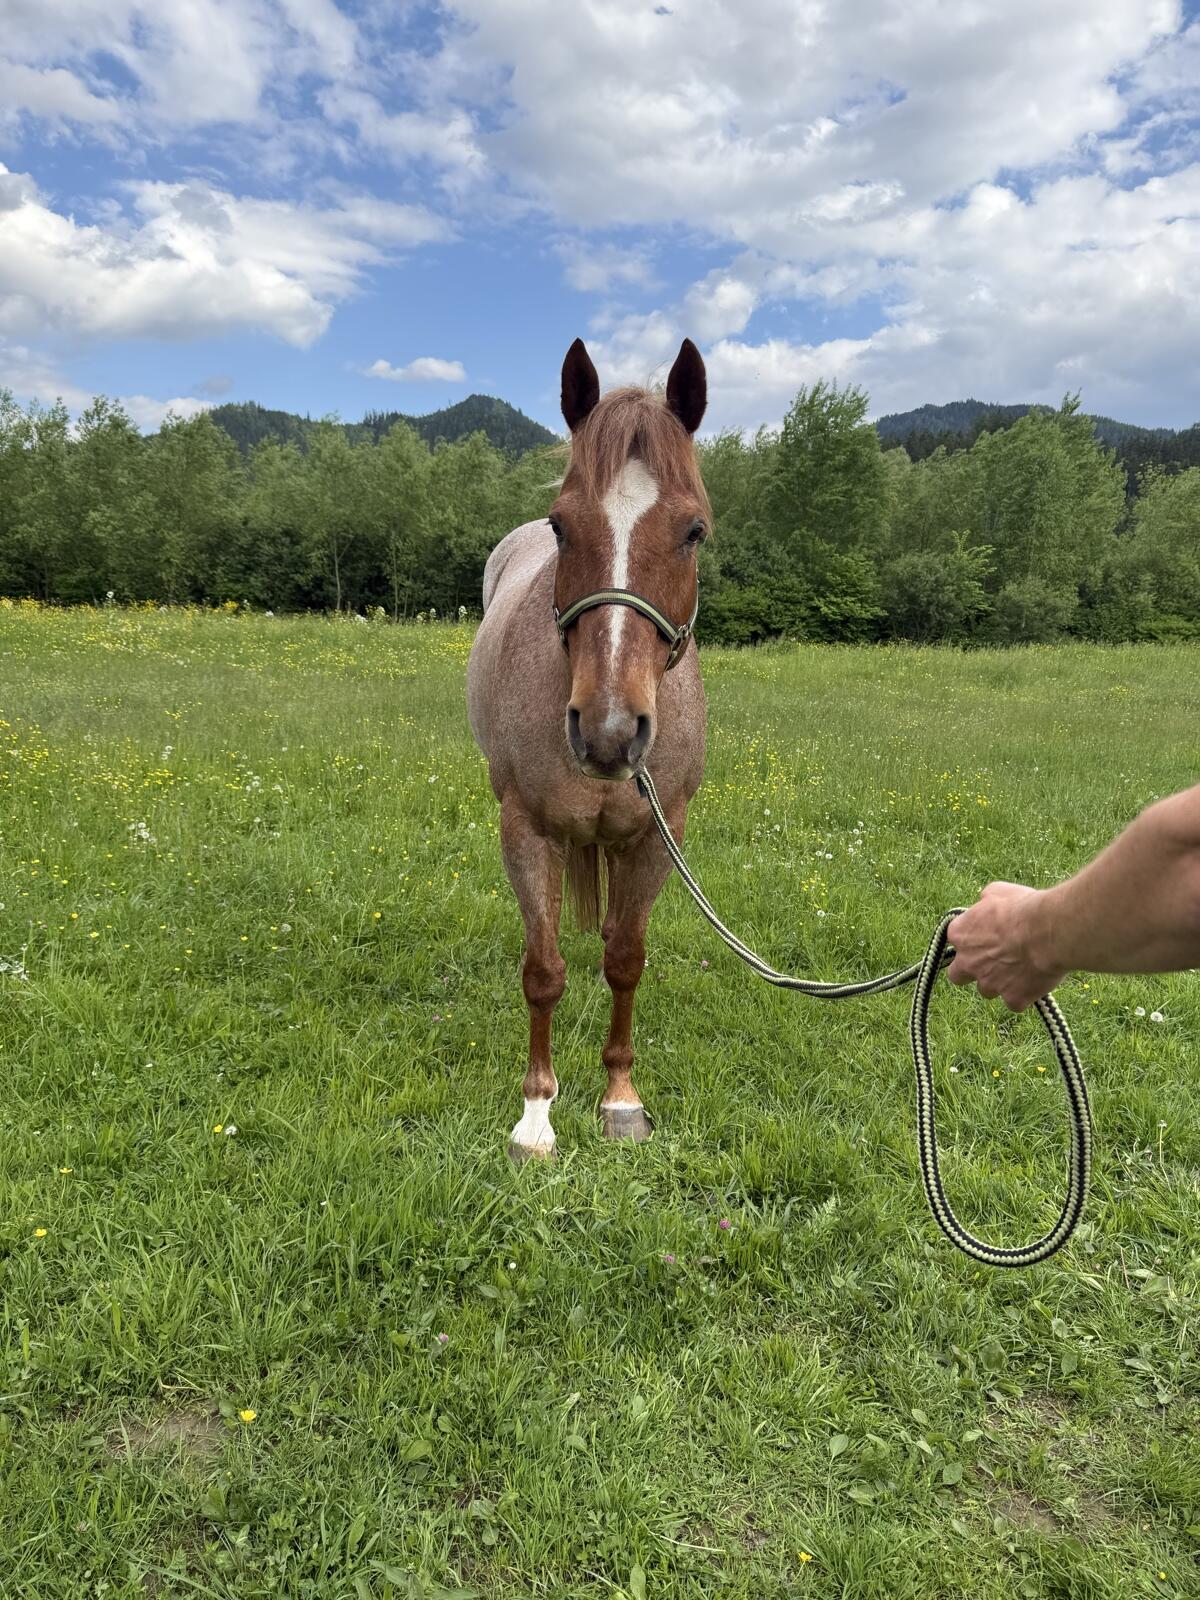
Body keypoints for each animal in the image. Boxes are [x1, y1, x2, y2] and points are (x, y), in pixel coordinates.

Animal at [467, 337, 710, 1159]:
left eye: (694, 531)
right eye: (562, 525)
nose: (607, 731)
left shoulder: (658, 836)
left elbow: (626, 958)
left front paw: (620, 1096)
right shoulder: (526, 829)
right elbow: (543, 970)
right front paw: (537, 1111)